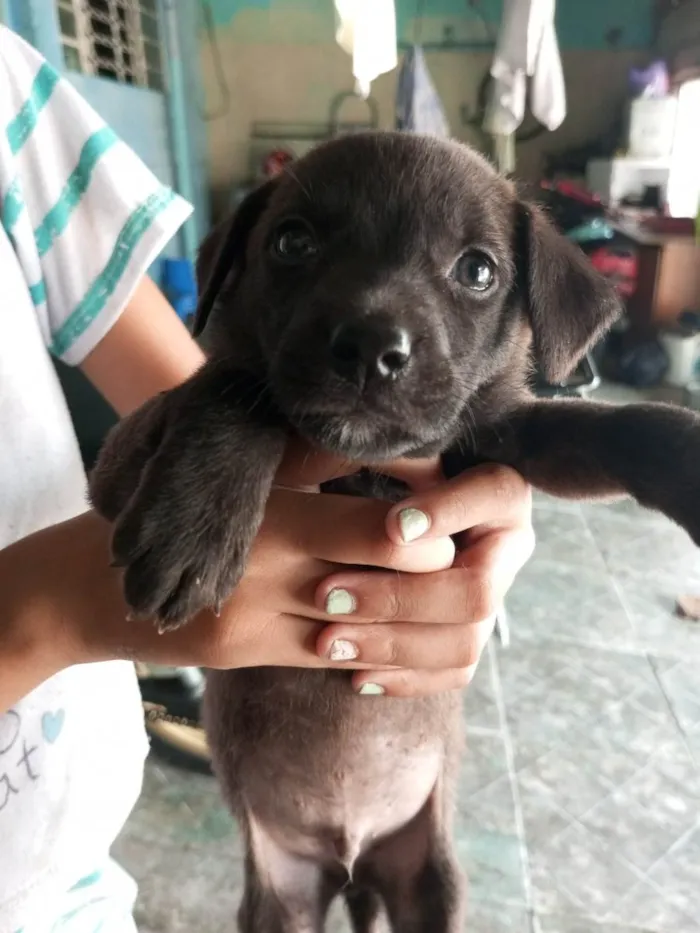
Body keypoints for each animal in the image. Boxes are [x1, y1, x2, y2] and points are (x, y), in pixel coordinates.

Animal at [90, 133, 700, 932]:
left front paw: (688, 458)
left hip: (428, 885)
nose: (371, 347)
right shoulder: (117, 467)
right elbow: (235, 388)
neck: (364, 464)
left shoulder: (498, 436)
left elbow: (605, 427)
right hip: (281, 899)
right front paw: (192, 526)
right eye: (292, 242)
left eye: (478, 270)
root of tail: (351, 861)